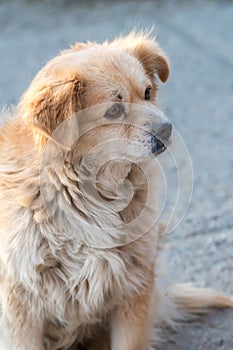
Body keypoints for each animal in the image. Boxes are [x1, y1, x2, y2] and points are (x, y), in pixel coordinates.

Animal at [0, 31, 233, 348]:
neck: (82, 194)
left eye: (147, 92)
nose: (167, 129)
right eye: (113, 110)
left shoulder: (134, 287)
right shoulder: (20, 306)